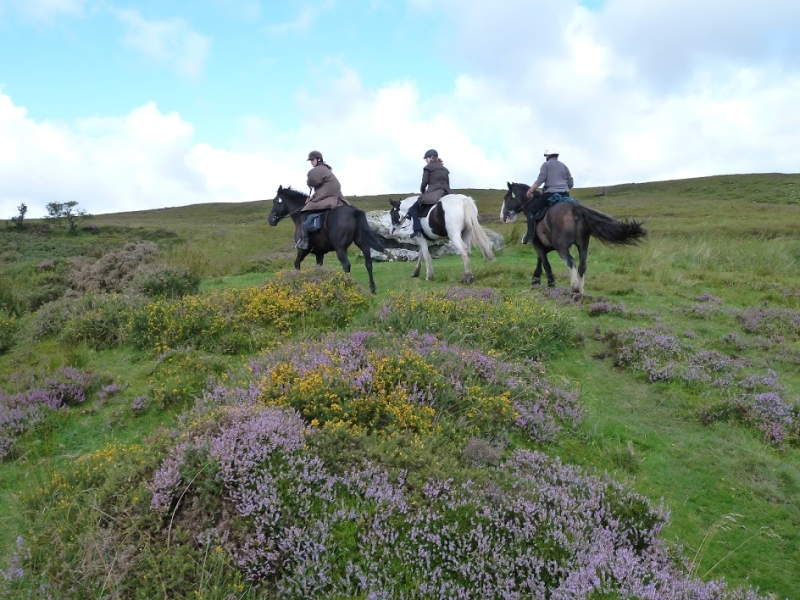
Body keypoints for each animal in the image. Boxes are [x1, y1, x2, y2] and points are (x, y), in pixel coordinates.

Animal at [504, 179, 648, 298]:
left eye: (506, 197)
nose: (503, 217)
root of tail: (575, 209)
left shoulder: (538, 245)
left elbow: (545, 263)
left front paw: (549, 285)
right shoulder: (544, 246)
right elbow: (540, 260)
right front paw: (536, 280)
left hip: (561, 247)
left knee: (571, 261)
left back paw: (574, 287)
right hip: (583, 245)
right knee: (582, 265)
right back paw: (580, 290)